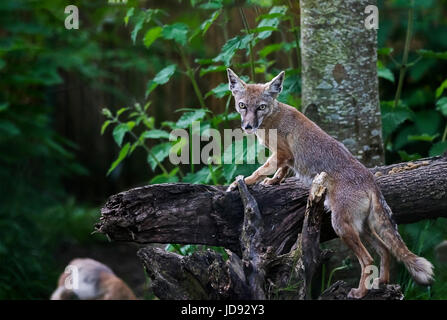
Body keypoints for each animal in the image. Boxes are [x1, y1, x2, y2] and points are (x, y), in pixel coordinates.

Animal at [226, 69, 436, 298]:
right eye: (242, 105)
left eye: (261, 107)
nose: (247, 126)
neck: (273, 118)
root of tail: (370, 181)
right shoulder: (287, 159)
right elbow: (280, 173)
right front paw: (273, 182)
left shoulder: (282, 154)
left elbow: (258, 171)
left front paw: (241, 183)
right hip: (362, 228)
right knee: (385, 250)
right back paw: (381, 283)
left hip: (342, 227)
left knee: (368, 259)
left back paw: (360, 292)